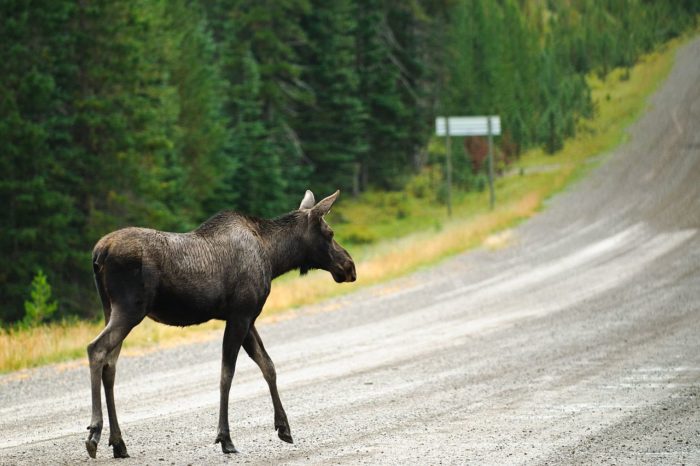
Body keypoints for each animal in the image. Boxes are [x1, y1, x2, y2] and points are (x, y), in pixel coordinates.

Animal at [85, 190, 356, 458]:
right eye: (330, 233)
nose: (350, 266)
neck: (274, 258)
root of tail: (99, 252)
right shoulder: (240, 315)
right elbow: (227, 374)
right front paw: (225, 438)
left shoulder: (247, 317)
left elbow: (268, 365)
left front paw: (283, 427)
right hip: (130, 309)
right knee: (96, 349)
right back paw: (94, 433)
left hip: (111, 308)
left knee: (111, 365)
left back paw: (118, 442)